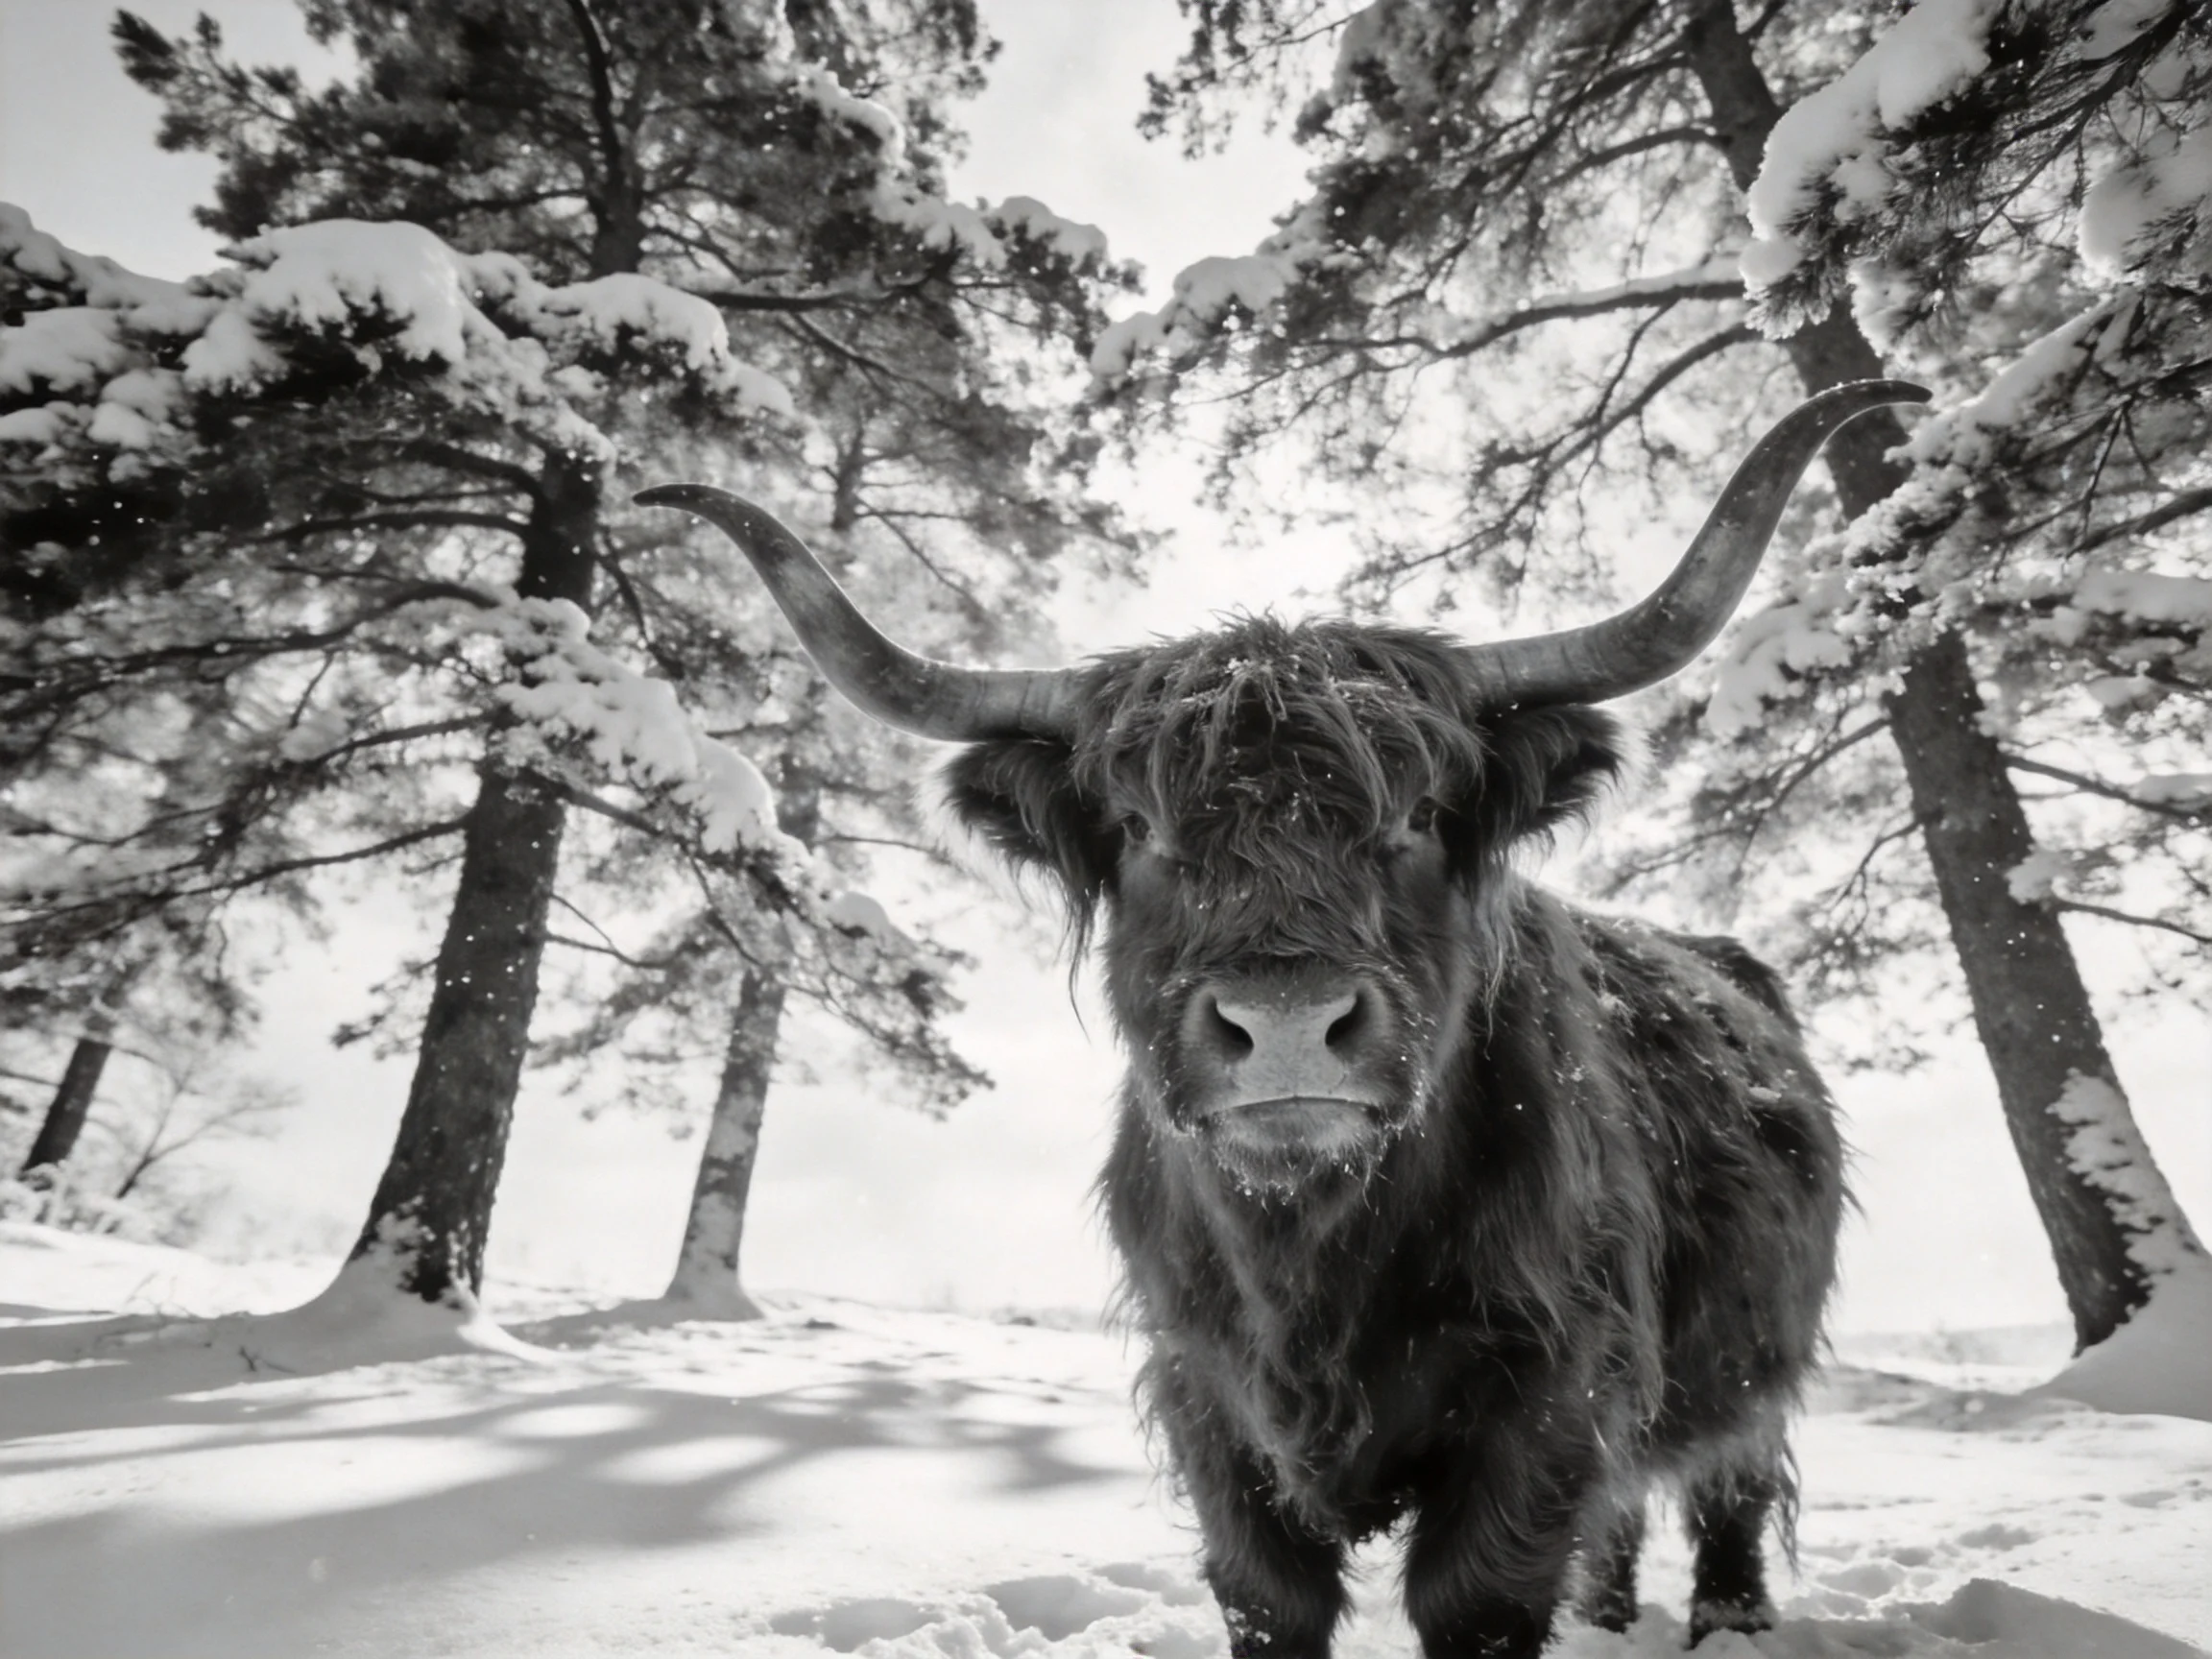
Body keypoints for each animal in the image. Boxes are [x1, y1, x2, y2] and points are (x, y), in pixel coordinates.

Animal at [640, 380, 1925, 1658]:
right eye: (1141, 829)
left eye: (1418, 814)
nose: (1290, 1020)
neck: (1310, 1262)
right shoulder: (1209, 1400)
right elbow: (1269, 1596)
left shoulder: (1548, 1391)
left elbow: (1482, 1597)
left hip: (1752, 1366)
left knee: (1726, 1495)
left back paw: (1729, 1620)